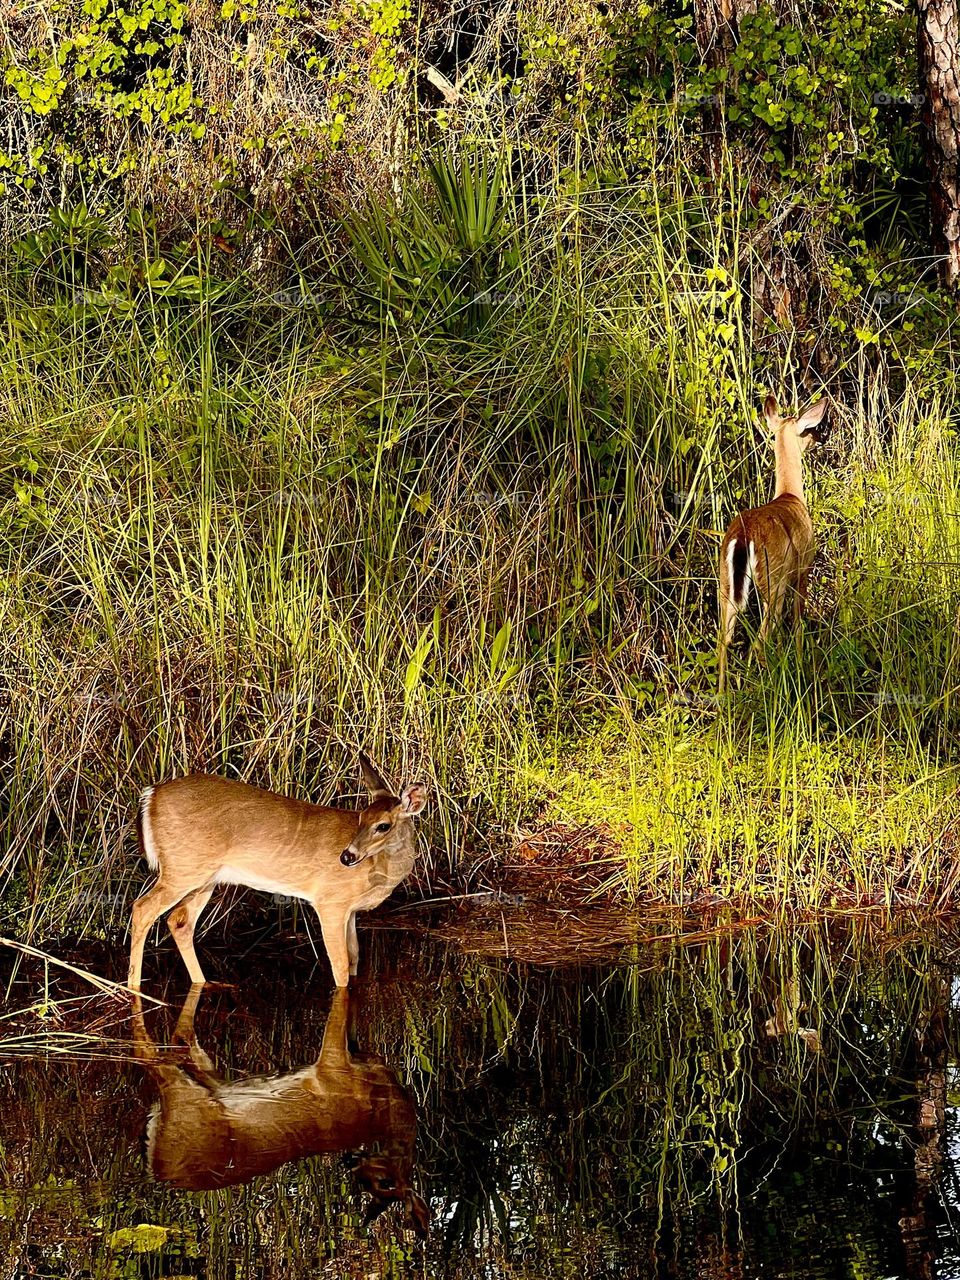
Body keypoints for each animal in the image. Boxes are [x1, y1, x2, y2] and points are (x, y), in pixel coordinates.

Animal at [126, 752, 427, 993]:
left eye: (382, 825)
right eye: (361, 818)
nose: (347, 856)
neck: (379, 870)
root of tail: (150, 796)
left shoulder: (350, 910)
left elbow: (354, 957)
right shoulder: (330, 902)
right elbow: (340, 964)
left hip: (204, 877)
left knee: (179, 921)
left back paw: (207, 983)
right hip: (181, 868)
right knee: (142, 908)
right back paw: (134, 988)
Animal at [129, 983, 430, 1233]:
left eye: (382, 1184)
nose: (350, 1162)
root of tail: (157, 1167)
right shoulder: (332, 1065)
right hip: (183, 1095)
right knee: (150, 1052)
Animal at [716, 394, 829, 691]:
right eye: (808, 430)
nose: (821, 438)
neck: (790, 495)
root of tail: (743, 537)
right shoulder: (803, 568)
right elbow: (798, 620)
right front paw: (800, 663)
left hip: (725, 583)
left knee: (724, 639)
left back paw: (724, 698)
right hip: (772, 578)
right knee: (760, 640)